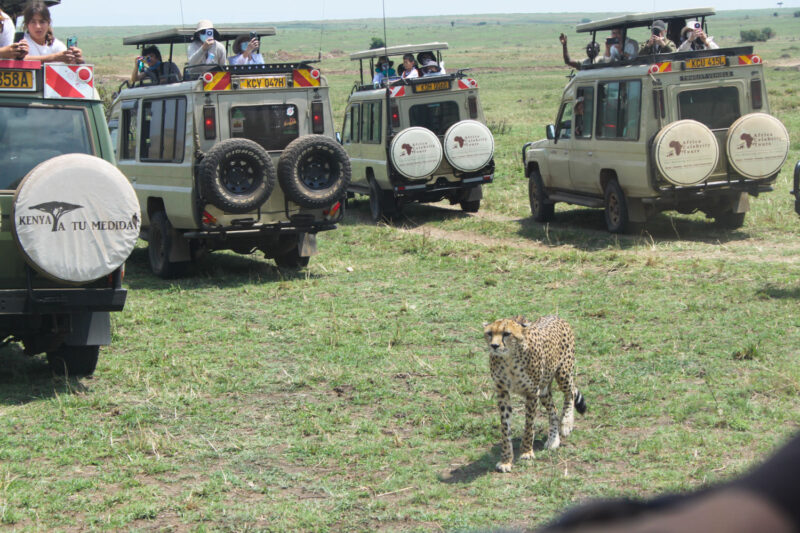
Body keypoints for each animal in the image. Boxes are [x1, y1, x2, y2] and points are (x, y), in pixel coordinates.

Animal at [482, 314, 588, 472]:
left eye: (506, 334)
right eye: (489, 333)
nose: (494, 346)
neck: (509, 359)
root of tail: (555, 315)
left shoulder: (532, 393)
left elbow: (529, 425)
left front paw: (526, 452)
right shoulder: (502, 392)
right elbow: (505, 429)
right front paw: (506, 460)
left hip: (563, 373)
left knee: (570, 393)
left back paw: (566, 424)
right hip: (543, 390)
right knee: (553, 410)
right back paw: (553, 440)